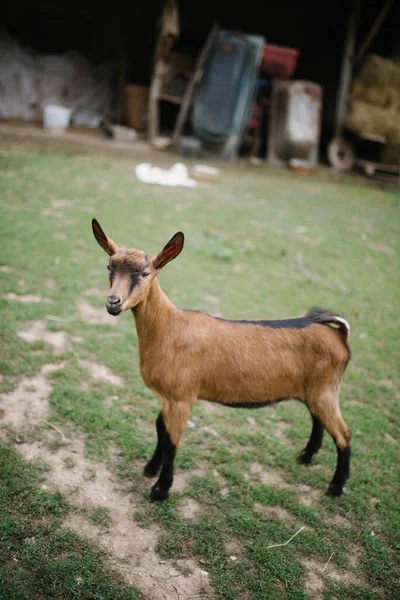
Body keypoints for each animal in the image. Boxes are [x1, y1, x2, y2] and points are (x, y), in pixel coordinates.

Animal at [92, 219, 352, 502]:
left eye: (145, 273)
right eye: (109, 267)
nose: (113, 303)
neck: (169, 329)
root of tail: (338, 335)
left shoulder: (182, 397)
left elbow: (171, 441)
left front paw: (161, 489)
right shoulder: (168, 396)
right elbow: (160, 429)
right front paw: (150, 468)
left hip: (325, 390)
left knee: (344, 434)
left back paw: (336, 486)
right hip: (314, 391)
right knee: (318, 420)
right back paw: (306, 457)